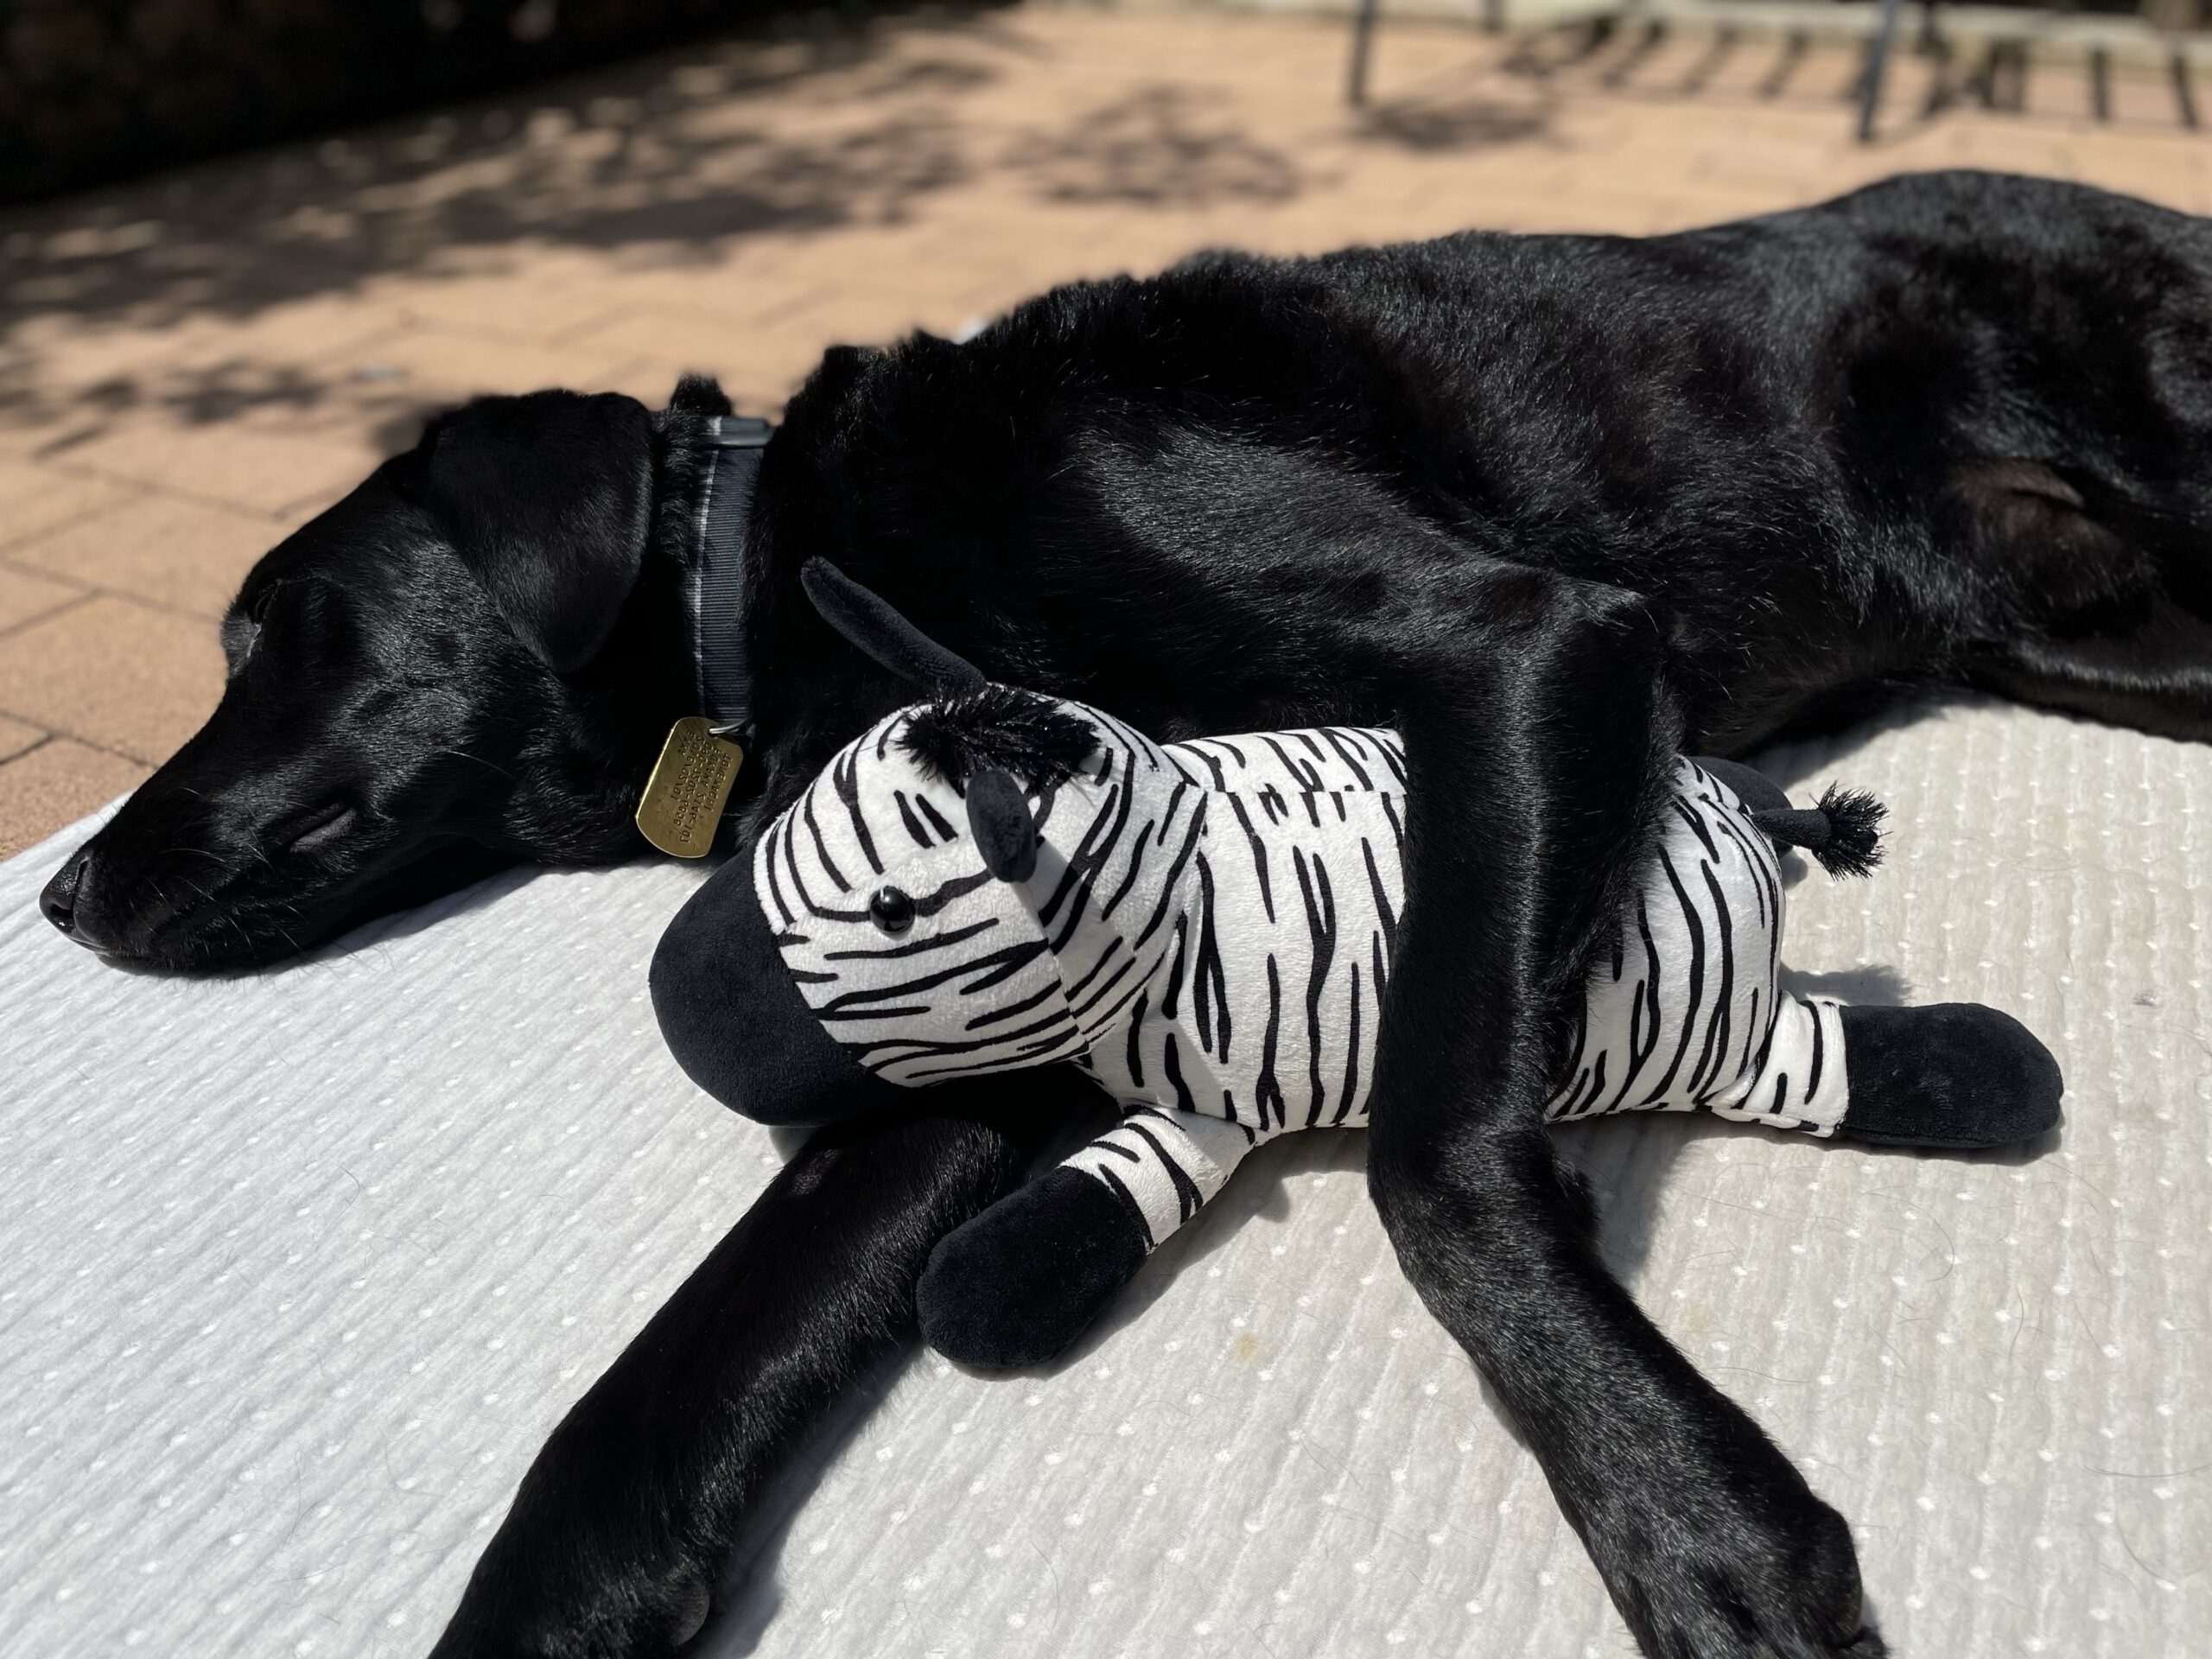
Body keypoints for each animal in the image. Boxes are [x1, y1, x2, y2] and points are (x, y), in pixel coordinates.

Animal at [40, 169, 2212, 1659]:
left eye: (277, 632)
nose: (54, 889)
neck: (802, 561)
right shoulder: (969, 1005)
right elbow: (700, 1340)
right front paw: (556, 1597)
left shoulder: (1522, 650)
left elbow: (1428, 1160)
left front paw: (1689, 1512)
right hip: (2093, 634)